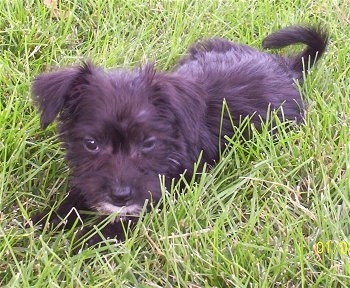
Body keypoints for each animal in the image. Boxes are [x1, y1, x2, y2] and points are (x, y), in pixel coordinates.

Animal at [30, 24, 328, 246]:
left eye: (148, 143)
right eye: (91, 144)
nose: (120, 196)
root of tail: (289, 69)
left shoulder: (166, 192)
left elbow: (125, 221)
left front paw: (89, 239)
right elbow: (77, 195)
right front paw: (47, 219)